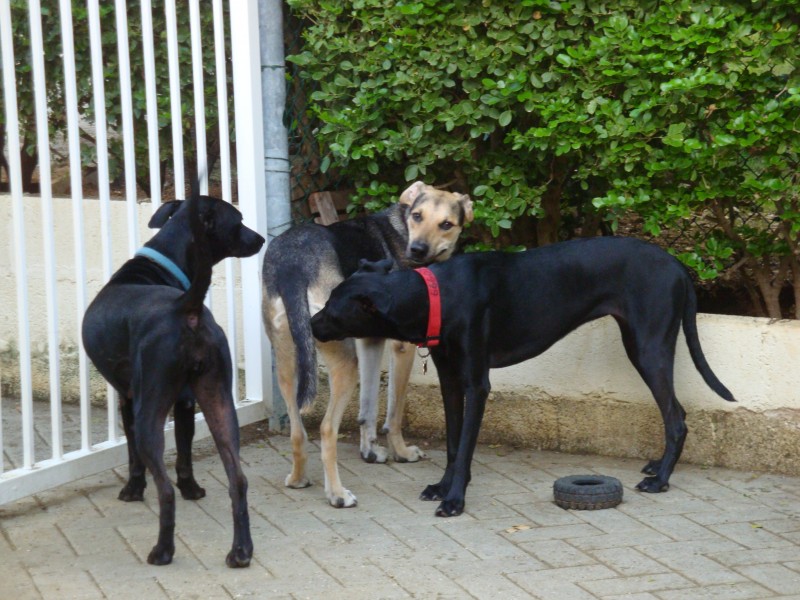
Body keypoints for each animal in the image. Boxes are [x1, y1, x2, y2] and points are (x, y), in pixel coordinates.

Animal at [82, 193, 264, 566]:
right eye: (238, 221)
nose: (261, 239)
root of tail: (185, 307)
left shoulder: (129, 400)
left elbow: (134, 456)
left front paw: (132, 490)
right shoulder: (186, 400)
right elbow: (184, 449)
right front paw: (192, 488)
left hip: (149, 412)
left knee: (164, 489)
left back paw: (162, 550)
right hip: (219, 402)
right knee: (238, 480)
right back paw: (240, 551)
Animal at [262, 181, 473, 507]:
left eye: (446, 224)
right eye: (417, 216)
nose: (416, 250)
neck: (402, 230)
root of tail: (292, 265)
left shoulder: (370, 339)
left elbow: (369, 404)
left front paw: (370, 451)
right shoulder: (402, 348)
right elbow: (394, 410)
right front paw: (401, 452)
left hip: (289, 362)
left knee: (298, 430)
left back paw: (298, 479)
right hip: (343, 361)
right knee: (326, 429)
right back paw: (337, 494)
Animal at [310, 236, 736, 517]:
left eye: (333, 307)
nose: (311, 324)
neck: (438, 296)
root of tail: (676, 264)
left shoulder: (477, 384)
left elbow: (465, 447)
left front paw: (455, 500)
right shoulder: (451, 382)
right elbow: (452, 445)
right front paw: (442, 487)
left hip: (648, 348)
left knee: (676, 417)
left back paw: (660, 479)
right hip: (641, 344)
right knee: (674, 414)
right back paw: (656, 466)